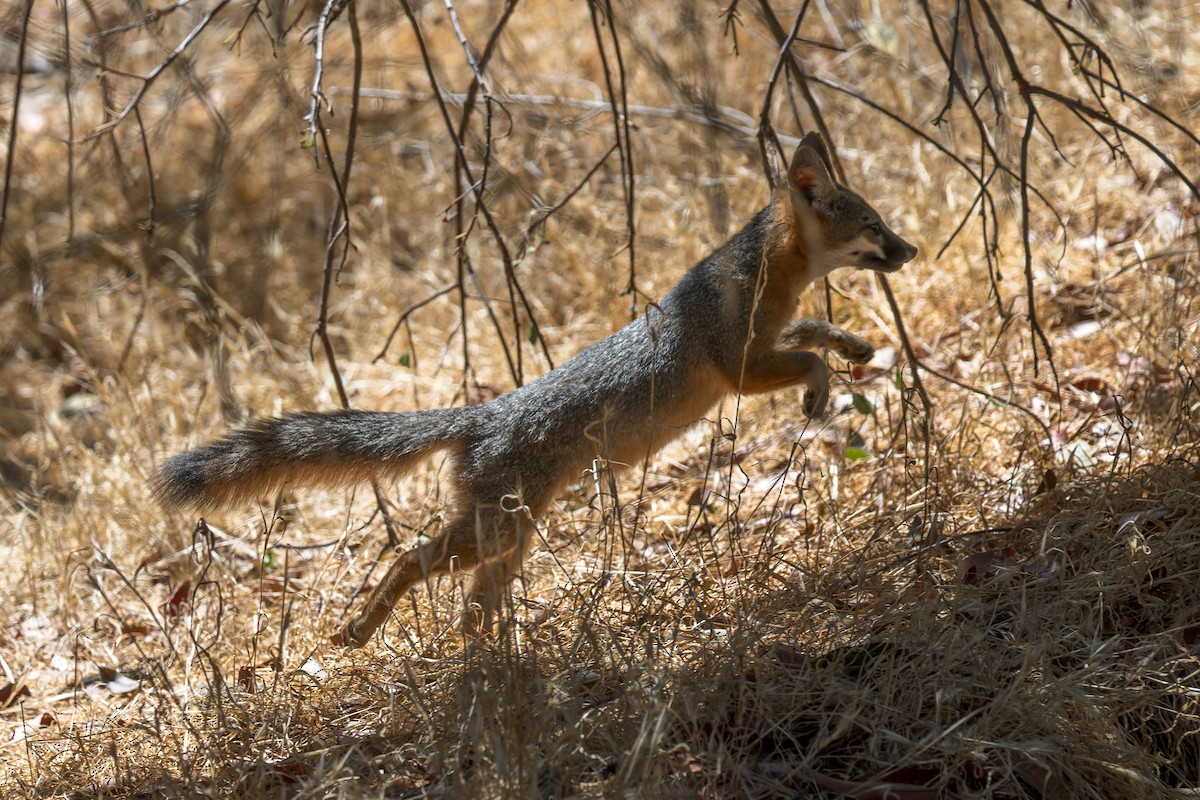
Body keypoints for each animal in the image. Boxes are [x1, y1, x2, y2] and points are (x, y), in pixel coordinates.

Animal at [152, 132, 917, 647]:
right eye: (875, 225)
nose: (910, 250)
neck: (758, 273)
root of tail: (485, 412)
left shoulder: (767, 341)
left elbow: (815, 328)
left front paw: (855, 348)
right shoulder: (739, 367)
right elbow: (804, 356)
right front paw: (819, 390)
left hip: (506, 543)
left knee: (469, 612)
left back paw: (498, 665)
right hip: (492, 535)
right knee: (409, 560)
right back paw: (365, 631)